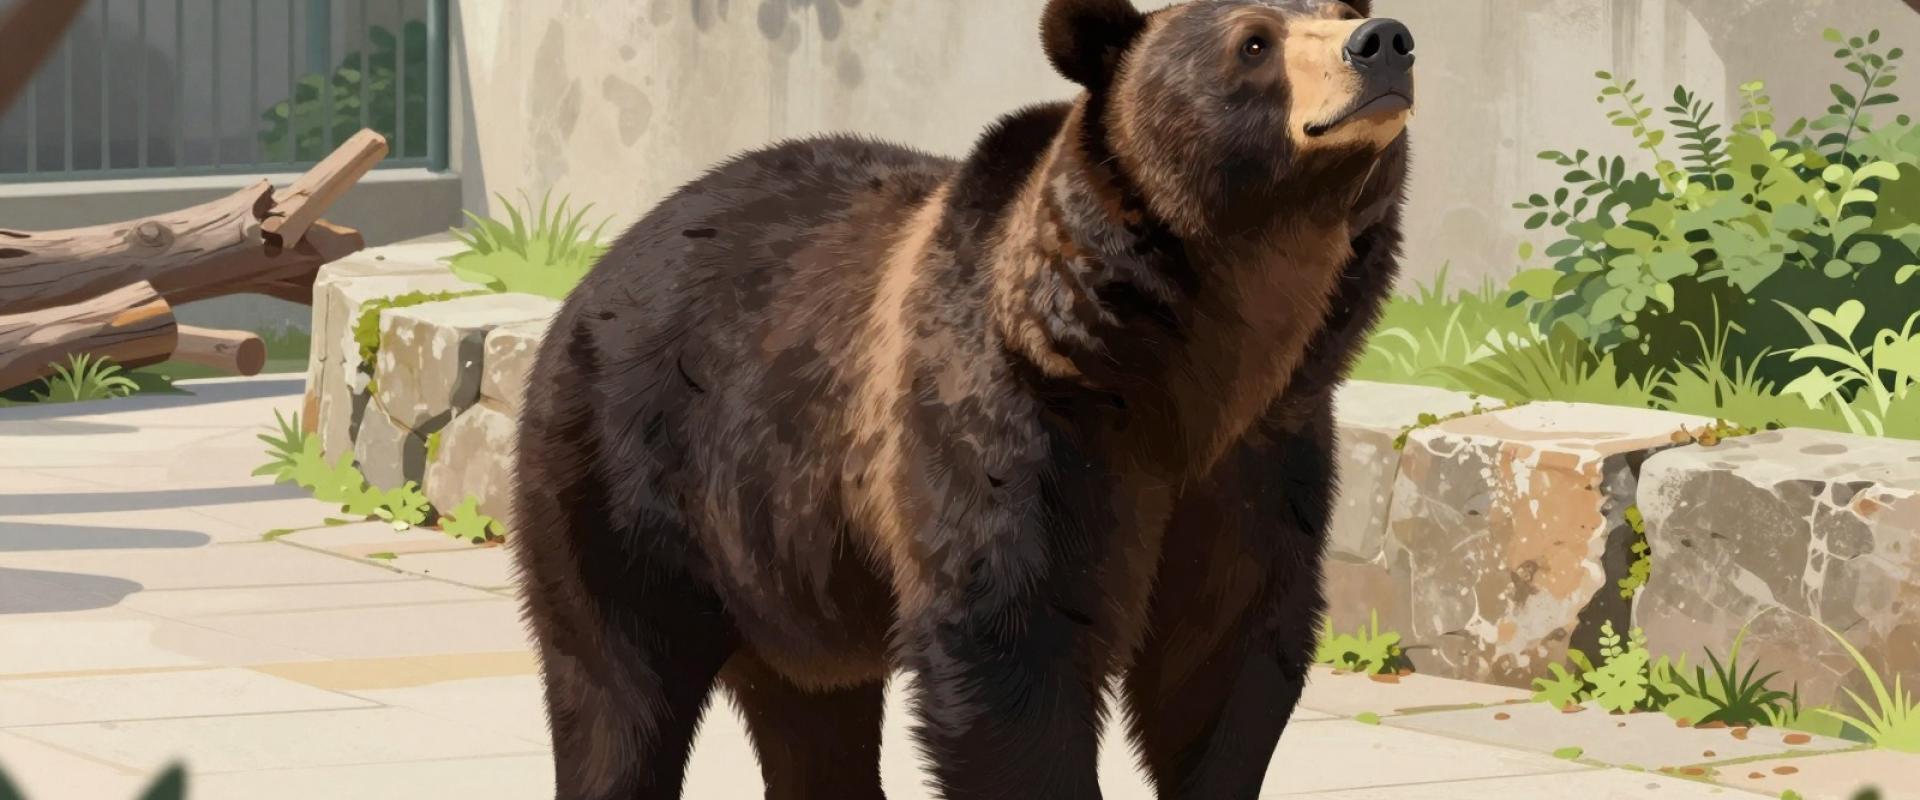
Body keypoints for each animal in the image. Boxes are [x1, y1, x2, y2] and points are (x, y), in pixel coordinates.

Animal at [509, 0, 1414, 797]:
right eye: (1254, 42)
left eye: (1339, 7)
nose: (1383, 42)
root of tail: (600, 269)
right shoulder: (1021, 423)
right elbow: (1012, 648)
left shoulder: (1261, 456)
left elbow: (1221, 658)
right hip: (630, 479)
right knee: (617, 690)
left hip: (784, 567)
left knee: (810, 712)